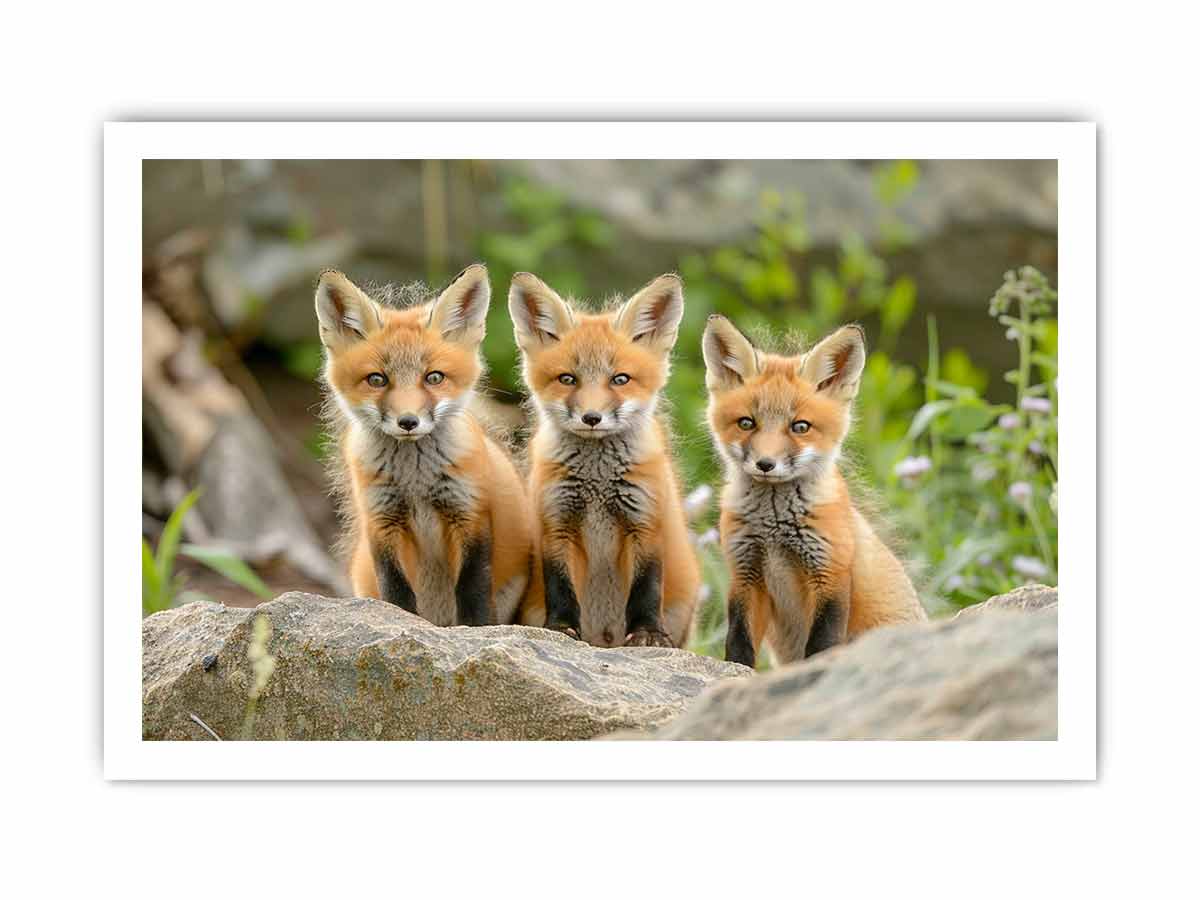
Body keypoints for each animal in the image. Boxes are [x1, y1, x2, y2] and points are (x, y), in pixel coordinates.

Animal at [315, 264, 534, 626]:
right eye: (377, 379)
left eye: (434, 377)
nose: (408, 422)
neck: (415, 480)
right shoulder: (381, 520)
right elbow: (396, 592)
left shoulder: (469, 514)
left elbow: (473, 591)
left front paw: (474, 629)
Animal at [509, 271, 701, 649]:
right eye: (568, 379)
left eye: (620, 379)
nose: (592, 418)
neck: (596, 481)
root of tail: (604, 640)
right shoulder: (556, 522)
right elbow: (560, 586)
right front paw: (559, 629)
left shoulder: (645, 522)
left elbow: (646, 588)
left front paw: (647, 634)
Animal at [702, 314, 926, 668]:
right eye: (747, 423)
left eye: (800, 427)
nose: (766, 464)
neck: (774, 531)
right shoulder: (745, 572)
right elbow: (739, 639)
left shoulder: (830, 574)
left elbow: (822, 644)